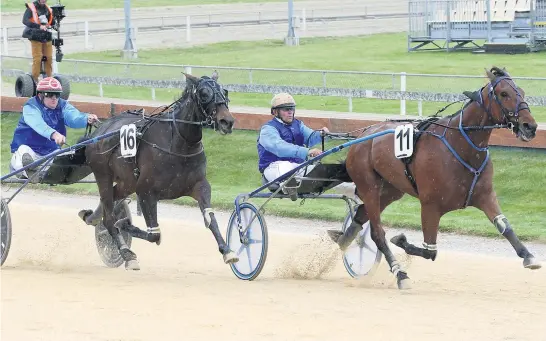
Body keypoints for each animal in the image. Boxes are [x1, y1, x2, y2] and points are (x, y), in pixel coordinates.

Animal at [77, 71, 237, 268]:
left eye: (225, 91)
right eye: (204, 93)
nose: (226, 121)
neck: (178, 143)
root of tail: (98, 132)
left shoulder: (200, 185)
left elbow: (210, 219)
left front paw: (227, 251)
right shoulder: (145, 191)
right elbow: (154, 234)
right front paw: (124, 225)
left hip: (127, 182)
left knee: (110, 203)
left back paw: (91, 217)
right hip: (103, 175)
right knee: (108, 217)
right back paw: (127, 253)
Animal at [328, 65, 540, 286]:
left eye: (522, 92)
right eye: (504, 94)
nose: (530, 126)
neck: (461, 145)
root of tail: (361, 137)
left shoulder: (485, 196)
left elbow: (504, 225)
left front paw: (528, 256)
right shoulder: (430, 205)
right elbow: (430, 251)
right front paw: (400, 240)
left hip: (390, 190)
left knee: (360, 216)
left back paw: (340, 245)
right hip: (369, 186)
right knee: (377, 233)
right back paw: (399, 273)